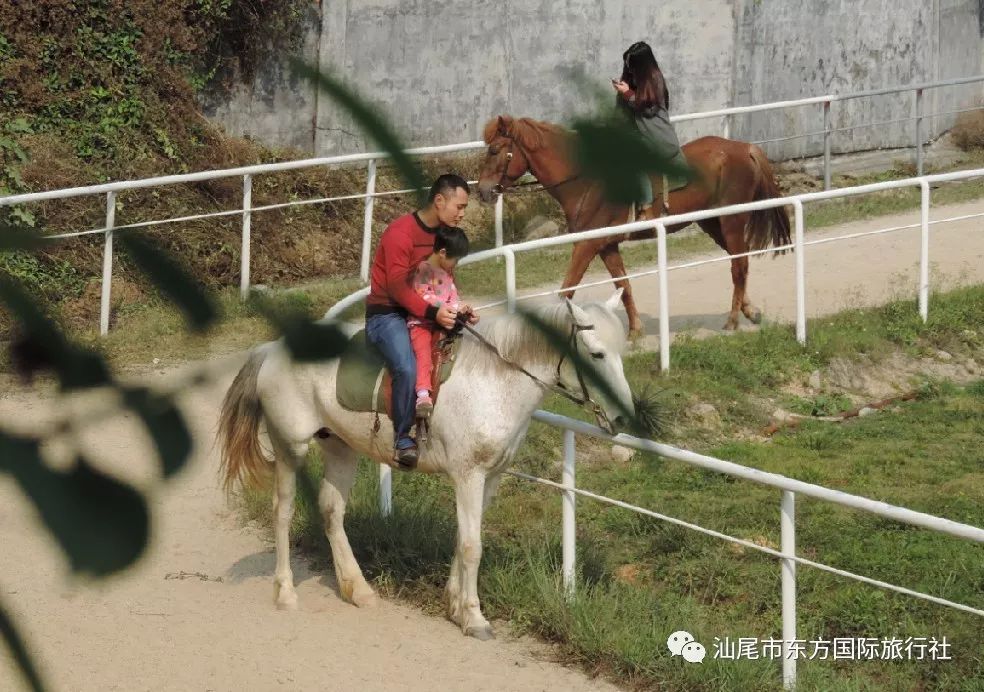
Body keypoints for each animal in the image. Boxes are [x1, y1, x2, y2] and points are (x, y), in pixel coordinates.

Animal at [218, 290, 636, 636]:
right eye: (596, 354)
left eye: (622, 351)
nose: (623, 418)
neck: (494, 380)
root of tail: (272, 348)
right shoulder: (469, 477)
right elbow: (471, 545)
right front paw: (474, 617)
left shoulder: (490, 477)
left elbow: (464, 538)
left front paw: (454, 605)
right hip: (290, 447)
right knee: (283, 512)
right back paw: (286, 592)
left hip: (339, 447)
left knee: (332, 510)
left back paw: (358, 589)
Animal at [476, 115, 792, 336]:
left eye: (495, 150)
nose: (482, 190)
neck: (586, 180)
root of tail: (745, 148)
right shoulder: (606, 247)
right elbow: (623, 285)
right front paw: (636, 330)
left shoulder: (586, 245)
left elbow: (566, 291)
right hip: (711, 223)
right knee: (739, 261)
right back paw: (749, 311)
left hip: (731, 221)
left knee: (739, 266)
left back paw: (732, 320)